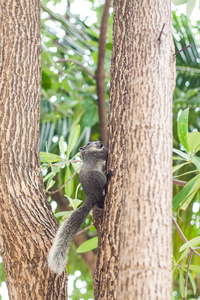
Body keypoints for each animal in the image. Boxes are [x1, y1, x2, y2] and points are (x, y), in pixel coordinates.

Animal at [48, 142, 111, 276]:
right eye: (88, 143)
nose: (97, 142)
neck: (86, 155)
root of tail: (91, 196)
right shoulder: (96, 155)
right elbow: (105, 153)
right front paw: (104, 144)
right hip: (97, 176)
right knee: (103, 183)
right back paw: (108, 178)